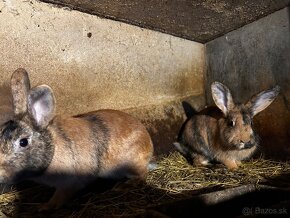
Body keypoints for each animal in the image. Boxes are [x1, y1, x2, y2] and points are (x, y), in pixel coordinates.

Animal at [0, 69, 154, 210]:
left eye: (23, 142)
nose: (1, 172)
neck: (53, 148)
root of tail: (149, 144)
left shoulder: (69, 183)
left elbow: (59, 197)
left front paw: (45, 207)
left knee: (142, 175)